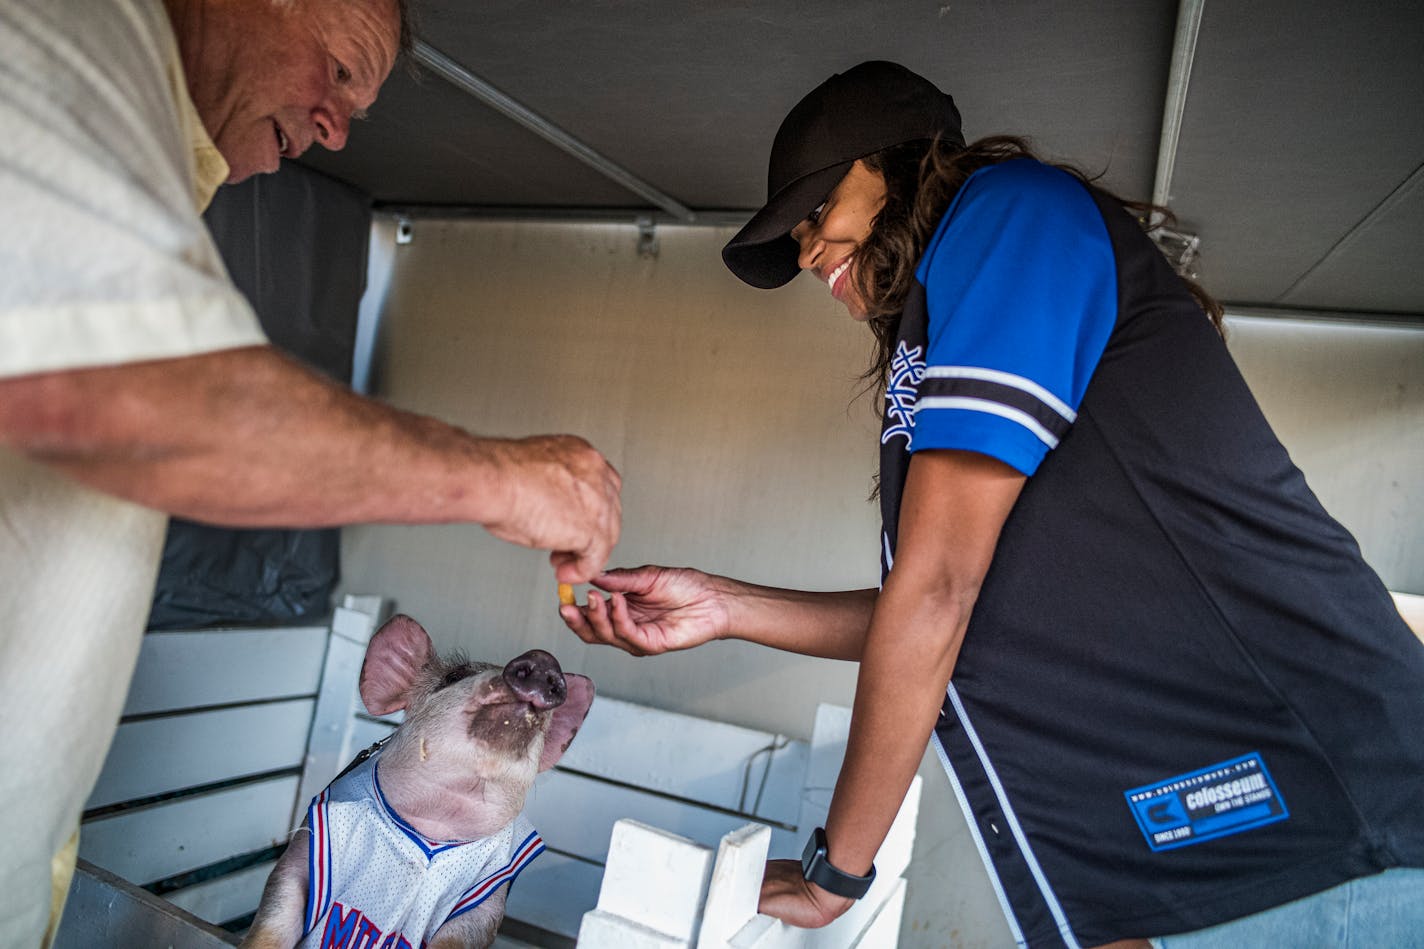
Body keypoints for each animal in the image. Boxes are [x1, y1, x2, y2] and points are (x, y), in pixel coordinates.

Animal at [236, 612, 592, 946]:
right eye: (453, 676)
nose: (544, 657)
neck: (434, 825)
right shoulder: (306, 849)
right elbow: (275, 915)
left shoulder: (488, 897)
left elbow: (461, 937)